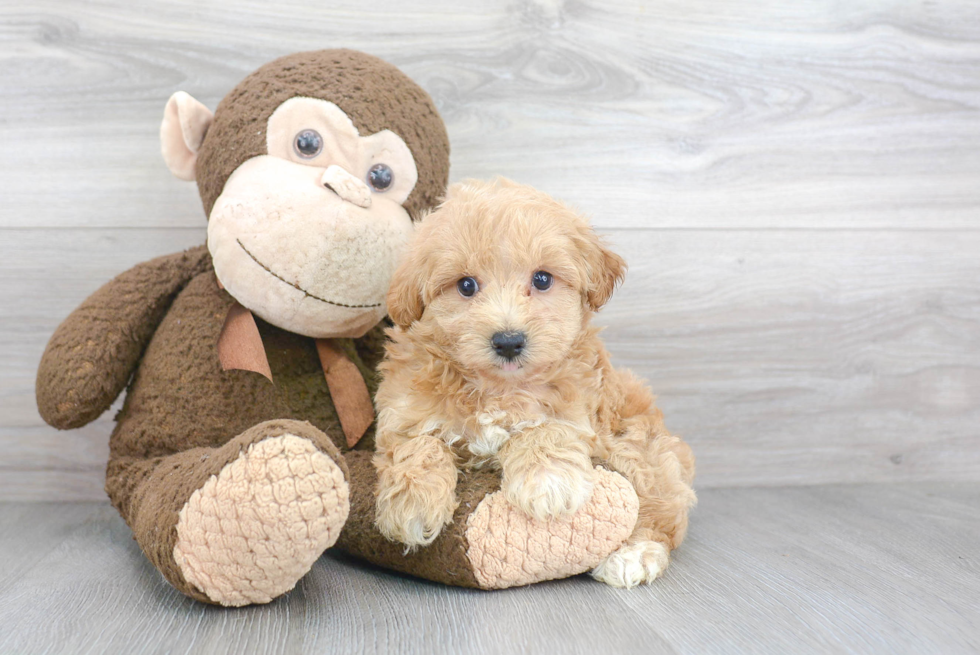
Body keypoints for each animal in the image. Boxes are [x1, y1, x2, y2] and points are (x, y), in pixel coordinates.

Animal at [374, 177, 696, 588]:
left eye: (542, 279)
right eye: (466, 286)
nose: (509, 341)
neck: (498, 388)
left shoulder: (579, 408)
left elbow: (546, 427)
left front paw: (548, 481)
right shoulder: (404, 409)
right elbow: (417, 443)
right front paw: (411, 504)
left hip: (637, 444)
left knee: (662, 507)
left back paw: (634, 553)